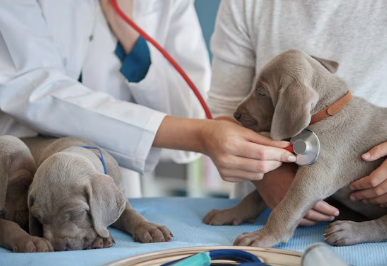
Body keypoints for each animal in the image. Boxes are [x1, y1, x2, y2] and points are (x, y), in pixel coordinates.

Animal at [0, 135, 173, 251]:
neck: (75, 147)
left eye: (77, 213)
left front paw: (149, 227)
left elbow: (130, 214)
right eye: (39, 218)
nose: (59, 247)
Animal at [205, 49, 387, 247]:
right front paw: (229, 213)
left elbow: (286, 208)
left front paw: (263, 236)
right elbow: (254, 196)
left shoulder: (313, 179)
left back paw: (348, 231)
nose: (235, 114)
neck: (327, 111)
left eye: (261, 92)